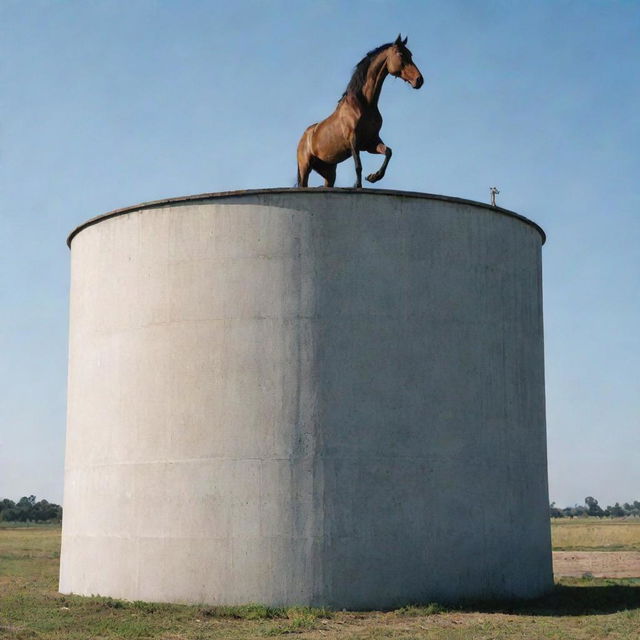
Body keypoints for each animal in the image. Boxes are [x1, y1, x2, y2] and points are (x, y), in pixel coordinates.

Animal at [296, 34, 424, 189]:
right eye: (400, 54)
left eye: (410, 54)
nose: (419, 80)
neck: (363, 104)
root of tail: (304, 137)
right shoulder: (354, 141)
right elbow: (358, 165)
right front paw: (357, 185)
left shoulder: (370, 142)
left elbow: (388, 151)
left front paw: (374, 177)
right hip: (305, 168)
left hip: (328, 172)